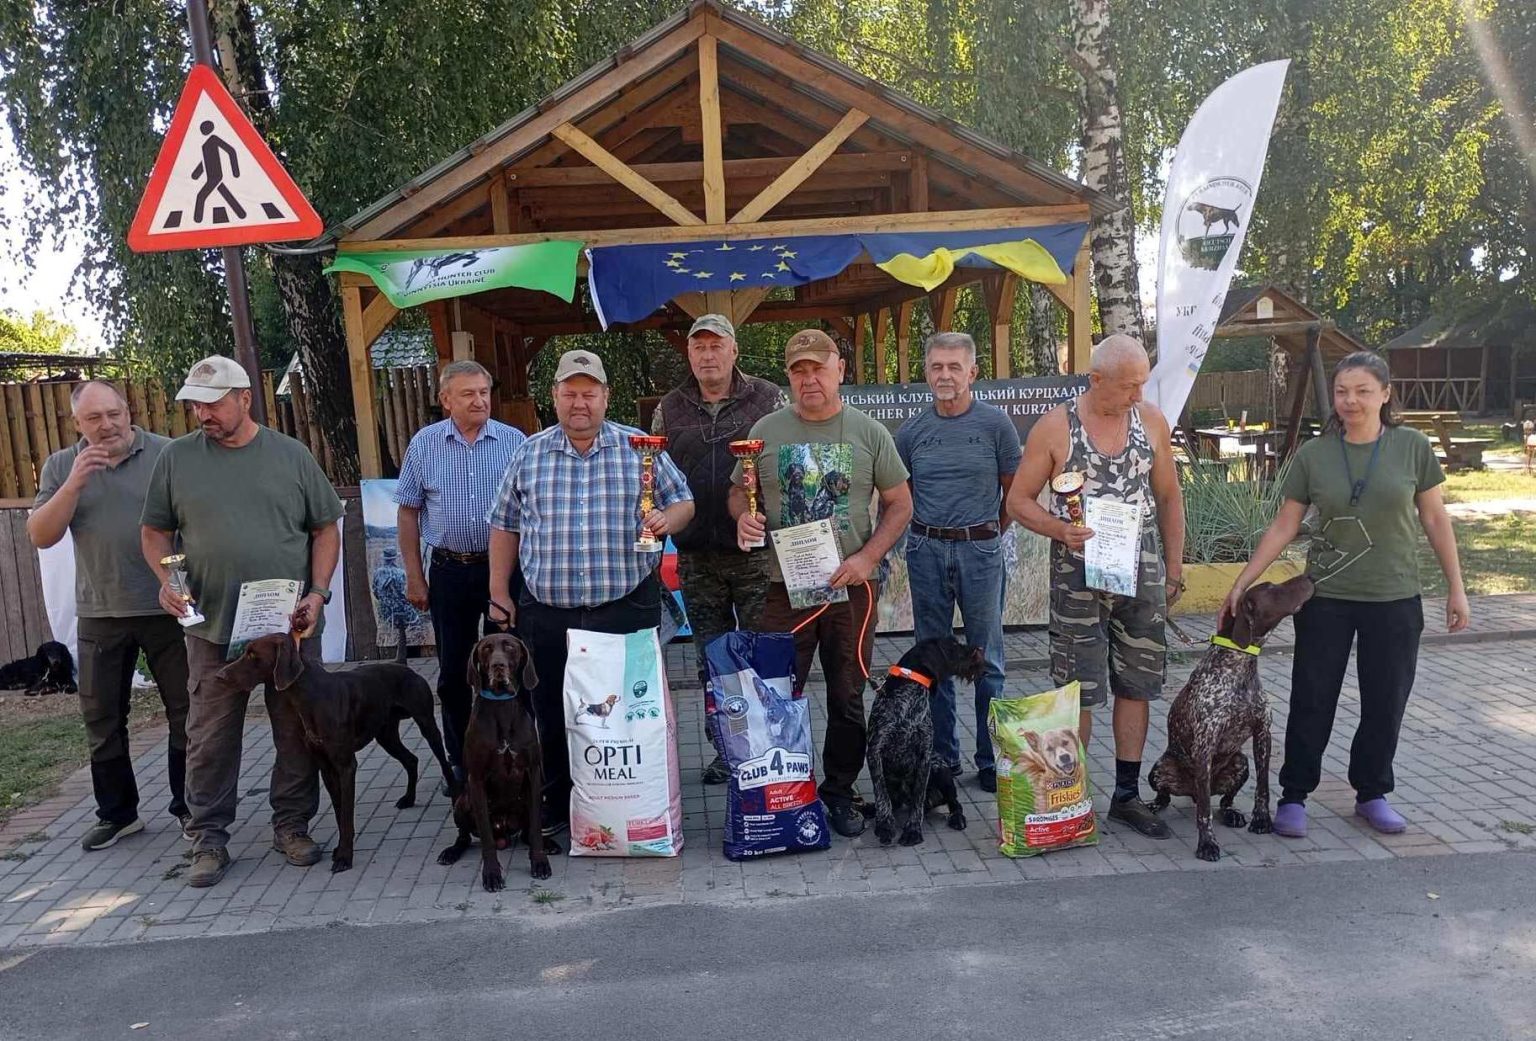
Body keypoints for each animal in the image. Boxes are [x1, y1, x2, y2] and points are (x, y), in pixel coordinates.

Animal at [433, 632, 559, 890]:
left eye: (509, 646)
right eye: (486, 648)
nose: (498, 666)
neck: (501, 705)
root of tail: (505, 832)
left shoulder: (532, 773)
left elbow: (535, 830)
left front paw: (539, 862)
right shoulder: (477, 780)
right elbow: (486, 840)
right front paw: (491, 874)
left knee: (528, 832)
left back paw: (548, 844)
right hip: (462, 802)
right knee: (465, 835)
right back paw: (451, 852)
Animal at [866, 635, 983, 847]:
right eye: (954, 645)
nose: (977, 649)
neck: (907, 702)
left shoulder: (925, 756)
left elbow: (918, 798)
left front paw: (913, 830)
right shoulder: (874, 751)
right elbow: (881, 795)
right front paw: (885, 825)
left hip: (941, 770)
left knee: (954, 803)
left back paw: (957, 818)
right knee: (893, 800)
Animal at [1148, 574, 1314, 859]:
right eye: (1271, 588)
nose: (1310, 577)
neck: (1239, 663)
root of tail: (1190, 792)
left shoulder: (1262, 734)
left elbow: (1263, 787)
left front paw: (1262, 820)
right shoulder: (1204, 745)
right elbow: (1205, 812)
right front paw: (1207, 843)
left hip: (1239, 762)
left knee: (1225, 800)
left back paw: (1232, 814)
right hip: (1160, 768)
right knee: (1172, 796)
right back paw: (1155, 806)